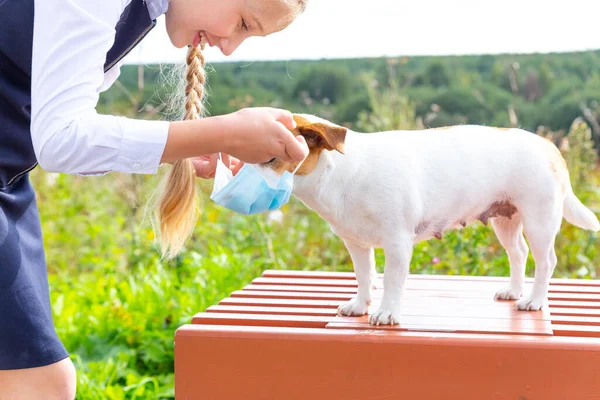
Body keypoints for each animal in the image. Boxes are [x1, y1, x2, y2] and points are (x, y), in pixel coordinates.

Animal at [258, 114, 600, 326]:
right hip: (506, 220)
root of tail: (548, 146)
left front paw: (387, 312)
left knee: (546, 261)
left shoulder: (397, 243)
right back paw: (514, 291)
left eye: (272, 158)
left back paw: (535, 300)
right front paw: (360, 305)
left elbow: (392, 280)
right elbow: (364, 276)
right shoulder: (356, 244)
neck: (339, 174)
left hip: (539, 221)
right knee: (519, 253)